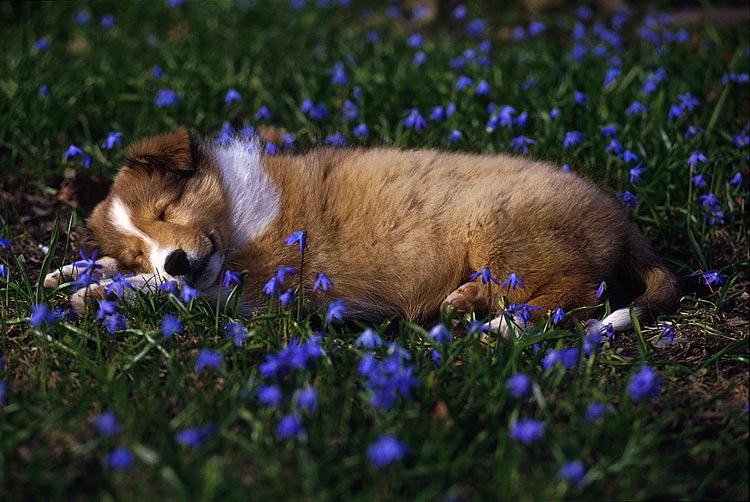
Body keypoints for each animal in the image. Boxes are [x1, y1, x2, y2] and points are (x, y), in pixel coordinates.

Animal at [45, 128, 680, 334]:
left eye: (166, 207)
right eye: (136, 249)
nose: (173, 258)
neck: (235, 211)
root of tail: (626, 226)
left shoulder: (260, 280)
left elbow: (172, 293)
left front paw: (93, 294)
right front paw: (75, 270)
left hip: (501, 229)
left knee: (579, 294)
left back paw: (503, 326)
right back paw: (465, 300)